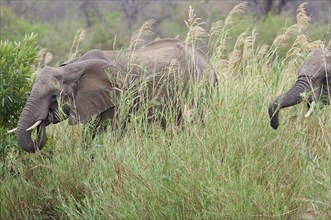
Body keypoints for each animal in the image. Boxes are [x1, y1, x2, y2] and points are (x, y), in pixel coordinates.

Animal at [9, 39, 219, 153]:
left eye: (53, 96)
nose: (41, 122)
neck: (73, 67)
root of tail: (208, 62)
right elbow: (89, 134)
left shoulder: (116, 99)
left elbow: (108, 133)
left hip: (200, 87)